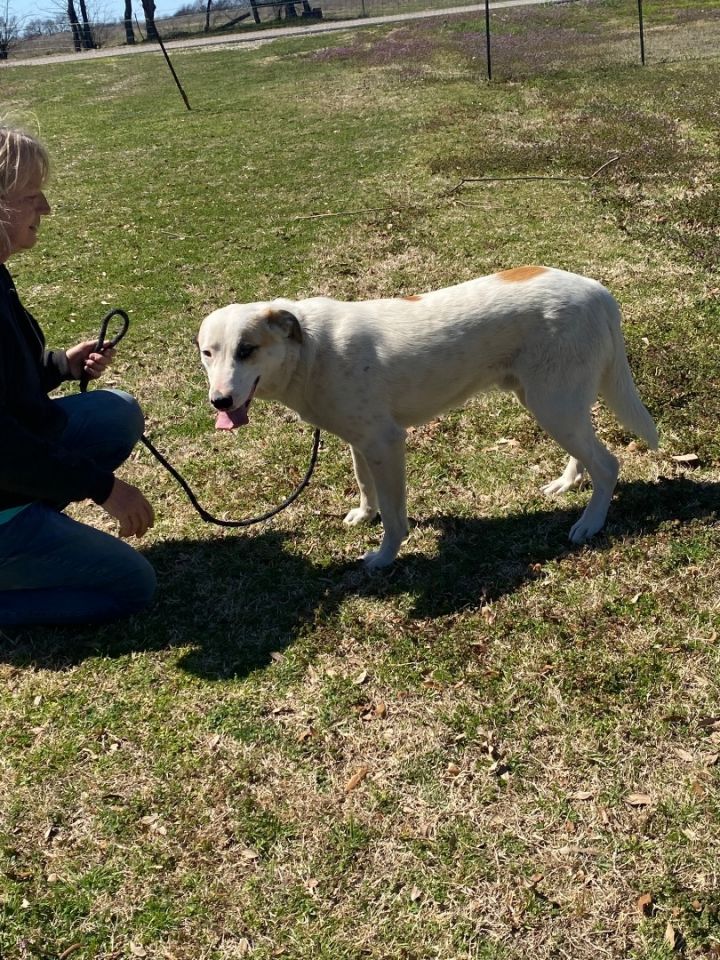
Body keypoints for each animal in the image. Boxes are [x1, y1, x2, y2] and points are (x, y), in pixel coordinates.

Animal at [198, 266, 660, 568]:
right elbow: (365, 485)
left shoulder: (386, 443)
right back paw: (567, 483)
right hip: (551, 402)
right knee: (586, 451)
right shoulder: (361, 441)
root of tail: (597, 290)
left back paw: (591, 523)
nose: (219, 402)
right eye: (207, 353)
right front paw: (364, 516)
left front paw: (384, 556)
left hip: (553, 404)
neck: (309, 350)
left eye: (247, 350)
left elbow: (394, 515)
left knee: (608, 464)